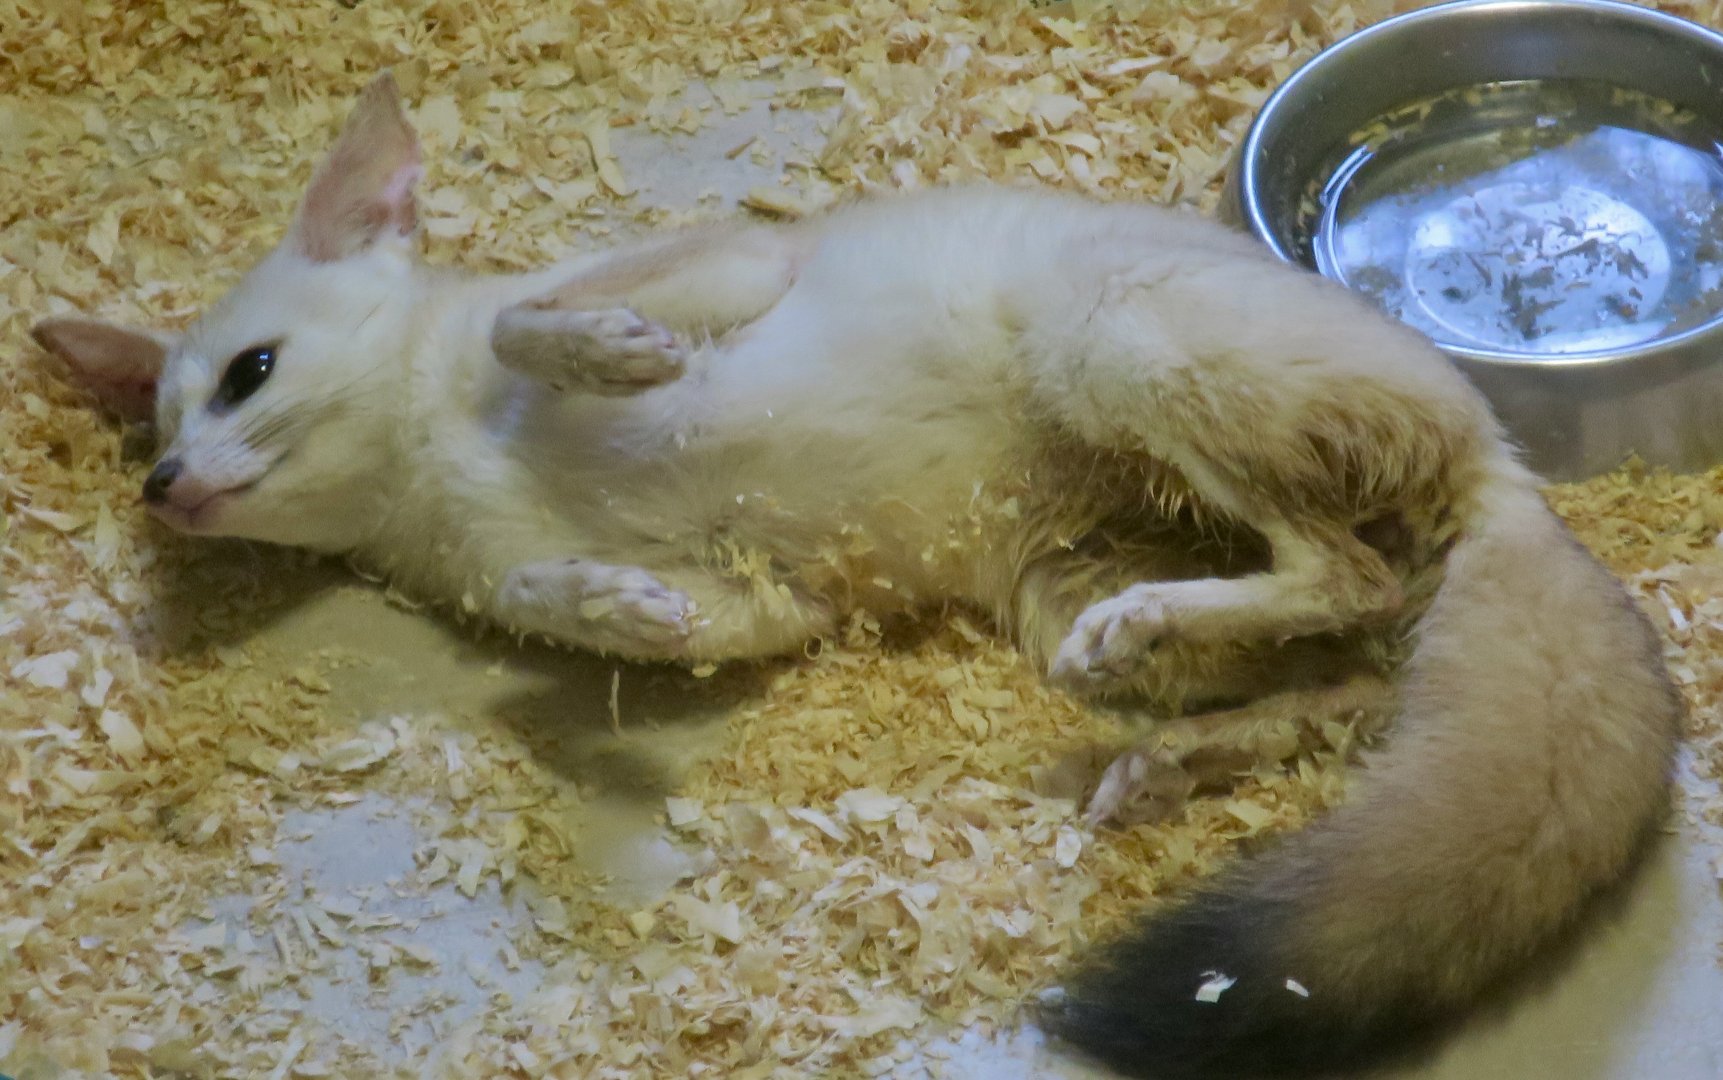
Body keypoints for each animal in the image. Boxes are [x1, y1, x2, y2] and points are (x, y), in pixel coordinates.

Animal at [32, 73, 1680, 1079]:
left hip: (1115, 350)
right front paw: (617, 609)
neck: (438, 474)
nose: (165, 490)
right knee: (1350, 656)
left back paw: (1154, 661)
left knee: (1343, 579)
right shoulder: (767, 595)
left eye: (247, 376)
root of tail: (1499, 466)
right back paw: (1164, 752)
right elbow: (611, 608)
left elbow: (534, 323)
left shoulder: (719, 274)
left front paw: (609, 358)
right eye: (154, 434)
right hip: (1064, 574)